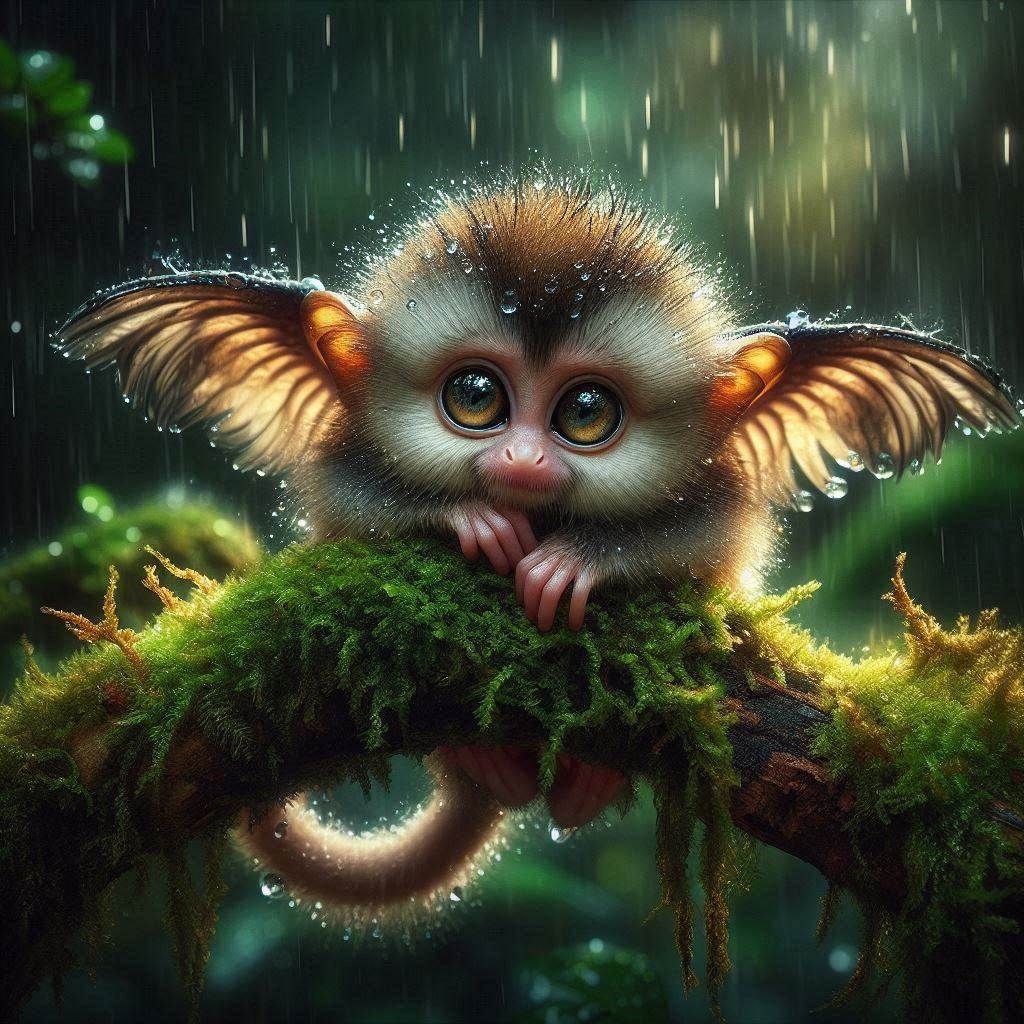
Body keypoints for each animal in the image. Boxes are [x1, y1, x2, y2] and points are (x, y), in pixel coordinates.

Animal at [56, 171, 1019, 921]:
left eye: (585, 413)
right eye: (476, 397)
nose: (520, 462)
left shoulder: (716, 502)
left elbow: (707, 535)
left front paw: (574, 561)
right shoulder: (343, 467)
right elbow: (346, 500)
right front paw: (474, 522)